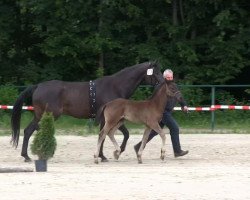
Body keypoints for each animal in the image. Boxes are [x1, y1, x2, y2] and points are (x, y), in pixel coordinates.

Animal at [11, 61, 165, 162]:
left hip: (40, 115)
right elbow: (117, 134)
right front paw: (112, 153)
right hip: (47, 115)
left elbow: (108, 135)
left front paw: (104, 155)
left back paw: (27, 155)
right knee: (30, 131)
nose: (164, 82)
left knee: (28, 131)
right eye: (156, 72)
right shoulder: (110, 119)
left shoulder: (109, 119)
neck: (115, 86)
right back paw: (29, 155)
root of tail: (38, 86)